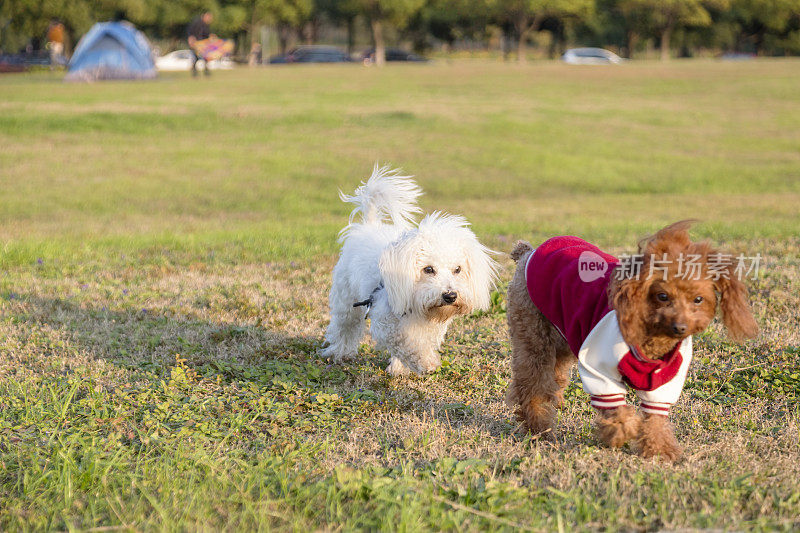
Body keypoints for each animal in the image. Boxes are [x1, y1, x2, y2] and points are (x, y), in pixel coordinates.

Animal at [322, 165, 496, 374]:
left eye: (457, 269)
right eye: (428, 269)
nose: (450, 295)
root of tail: (368, 226)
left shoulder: (426, 327)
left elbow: (419, 341)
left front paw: (400, 368)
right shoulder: (386, 321)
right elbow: (406, 343)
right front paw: (425, 361)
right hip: (346, 299)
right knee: (344, 326)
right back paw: (339, 353)